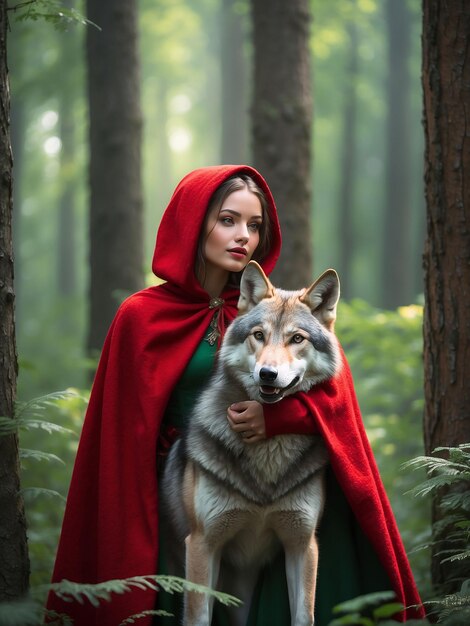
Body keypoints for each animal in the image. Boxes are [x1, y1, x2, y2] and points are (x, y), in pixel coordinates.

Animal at [162, 260, 342, 624]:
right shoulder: (202, 544)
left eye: (297, 339)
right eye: (258, 335)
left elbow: (305, 616)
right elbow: (198, 618)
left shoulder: (302, 544)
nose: (267, 374)